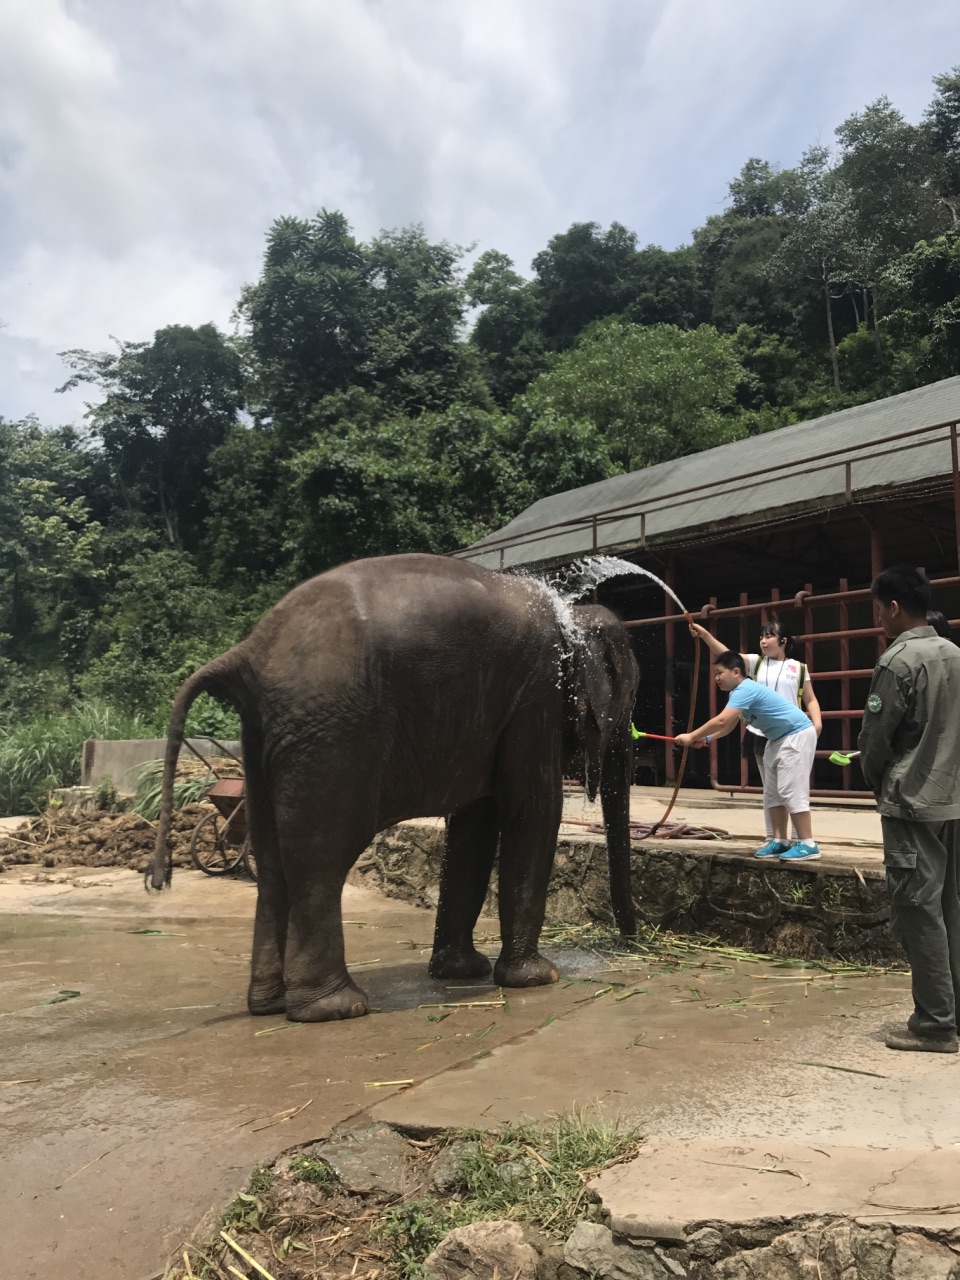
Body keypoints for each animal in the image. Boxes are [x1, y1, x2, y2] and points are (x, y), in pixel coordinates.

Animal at [150, 550, 642, 1018]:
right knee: (322, 858)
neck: (572, 616)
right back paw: (337, 1008)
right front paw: (538, 978)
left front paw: (461, 972)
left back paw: (271, 1006)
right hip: (331, 737)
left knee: (273, 863)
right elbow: (532, 810)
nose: (629, 944)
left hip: (263, 740)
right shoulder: (537, 694)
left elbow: (474, 825)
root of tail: (248, 653)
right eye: (629, 696)